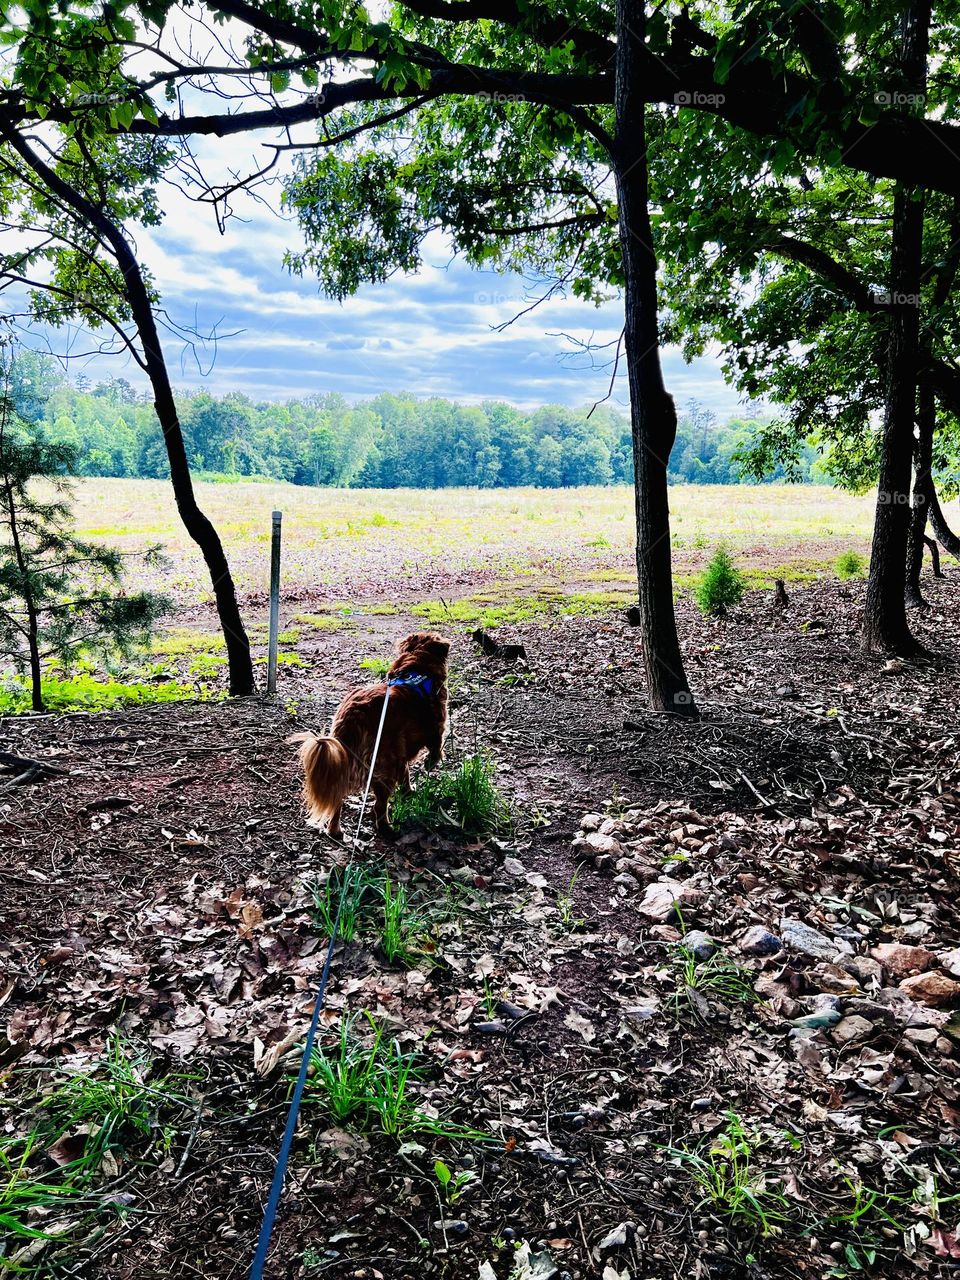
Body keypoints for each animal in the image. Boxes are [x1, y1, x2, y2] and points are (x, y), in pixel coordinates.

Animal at [289, 632, 450, 839]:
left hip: (350, 760)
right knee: (379, 806)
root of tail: (354, 713)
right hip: (384, 764)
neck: (416, 667)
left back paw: (335, 830)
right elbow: (436, 751)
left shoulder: (402, 753)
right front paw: (429, 765)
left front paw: (407, 792)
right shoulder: (436, 730)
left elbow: (405, 774)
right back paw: (387, 829)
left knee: (338, 797)